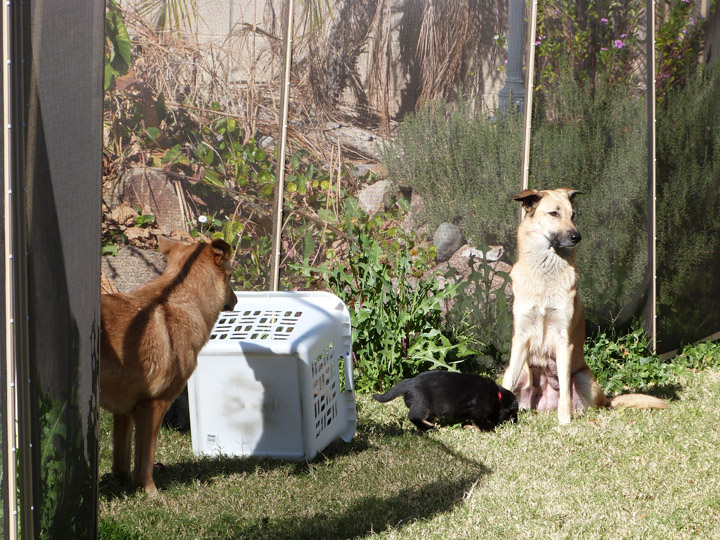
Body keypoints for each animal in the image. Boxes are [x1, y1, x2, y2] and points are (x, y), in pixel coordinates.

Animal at [100, 237, 236, 494]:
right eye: (232, 276)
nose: (236, 300)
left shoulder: (124, 411)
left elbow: (121, 460)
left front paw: (122, 483)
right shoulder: (154, 406)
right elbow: (145, 460)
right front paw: (150, 492)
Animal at [372, 372, 516, 430]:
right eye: (513, 413)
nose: (516, 422)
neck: (498, 396)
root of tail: (409, 383)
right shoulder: (478, 412)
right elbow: (480, 424)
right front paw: (488, 431)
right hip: (422, 404)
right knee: (413, 417)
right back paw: (432, 427)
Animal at [500, 188, 664, 424]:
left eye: (573, 215)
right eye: (554, 213)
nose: (577, 236)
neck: (545, 278)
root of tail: (544, 407)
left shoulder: (563, 341)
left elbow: (564, 390)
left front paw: (564, 421)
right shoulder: (521, 339)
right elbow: (507, 384)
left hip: (584, 377)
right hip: (521, 370)